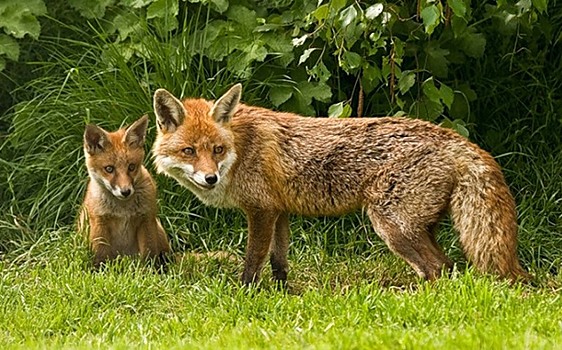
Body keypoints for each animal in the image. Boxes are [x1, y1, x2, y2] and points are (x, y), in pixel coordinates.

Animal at [150, 84, 524, 284]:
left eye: (216, 150)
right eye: (189, 151)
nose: (210, 177)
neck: (241, 148)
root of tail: (455, 140)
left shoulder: (261, 210)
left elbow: (253, 260)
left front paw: (245, 294)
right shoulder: (279, 210)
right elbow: (279, 262)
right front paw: (284, 294)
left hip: (392, 227)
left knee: (436, 269)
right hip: (418, 228)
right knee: (448, 268)